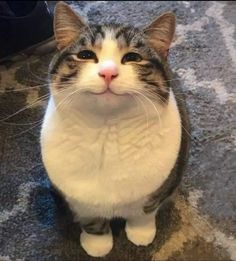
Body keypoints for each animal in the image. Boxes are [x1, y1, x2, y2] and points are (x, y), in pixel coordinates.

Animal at [40, 1, 190, 256]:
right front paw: (98, 244)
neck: (107, 133)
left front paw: (141, 233)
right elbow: (91, 220)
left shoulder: (156, 188)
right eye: (85, 54)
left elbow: (145, 211)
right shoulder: (78, 200)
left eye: (133, 57)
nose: (108, 72)